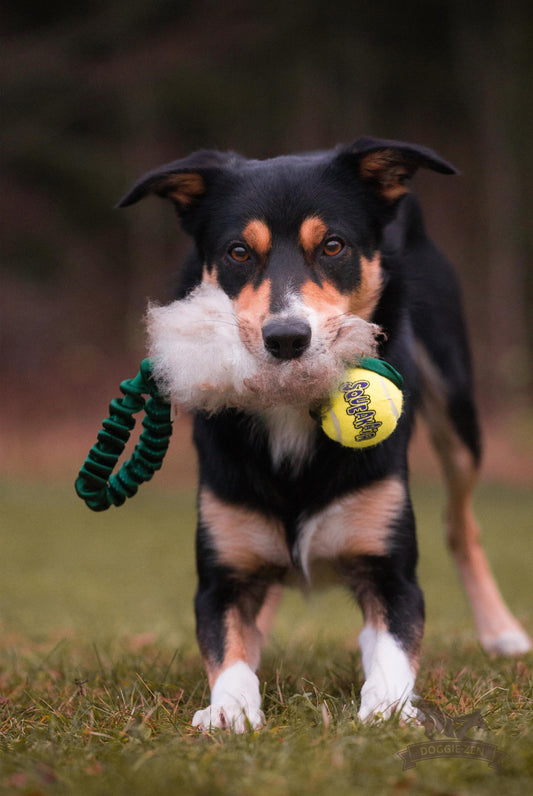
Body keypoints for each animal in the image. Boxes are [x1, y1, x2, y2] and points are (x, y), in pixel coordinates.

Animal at [116, 134, 528, 732]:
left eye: (333, 246)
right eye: (238, 252)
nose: (286, 338)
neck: (290, 410)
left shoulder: (391, 574)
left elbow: (393, 649)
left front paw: (387, 709)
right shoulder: (219, 580)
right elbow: (229, 652)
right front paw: (229, 709)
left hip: (457, 410)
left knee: (460, 522)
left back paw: (502, 633)